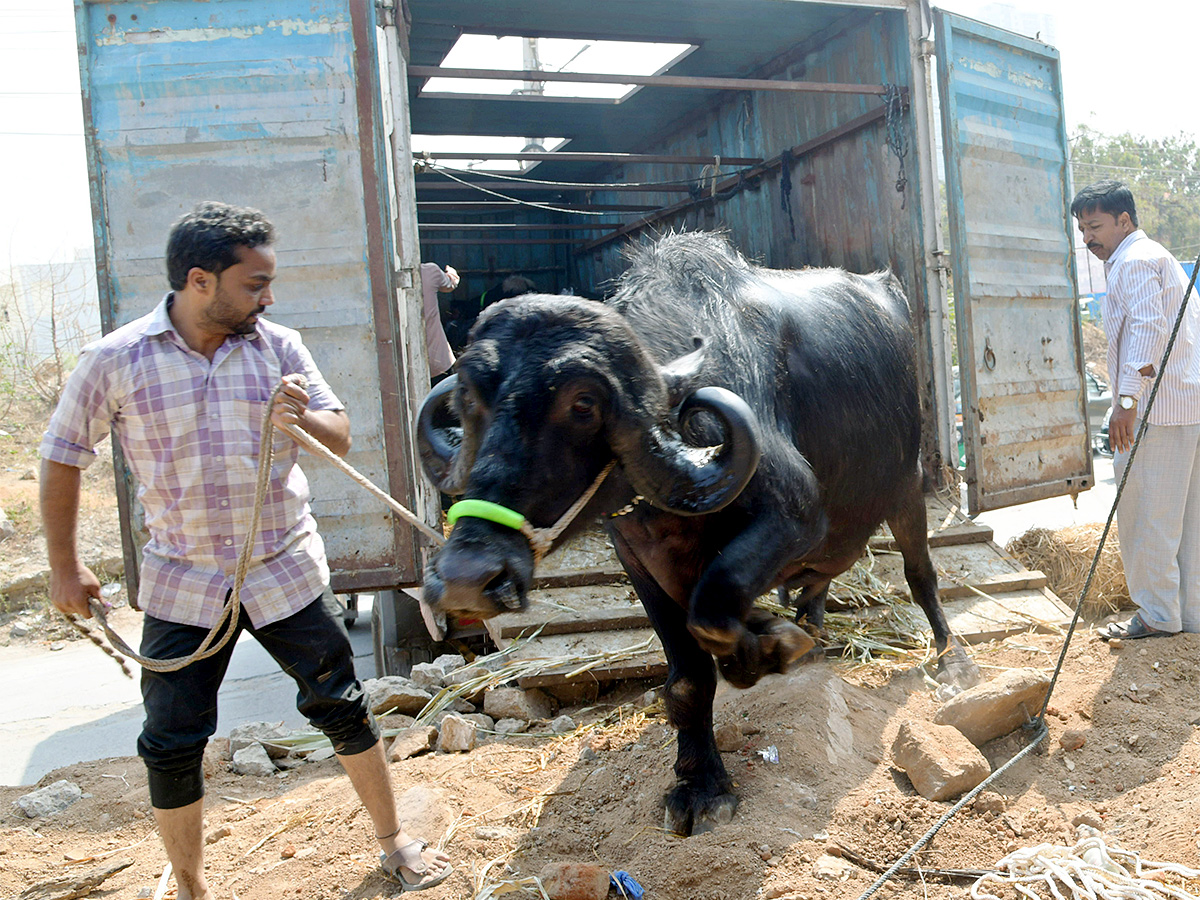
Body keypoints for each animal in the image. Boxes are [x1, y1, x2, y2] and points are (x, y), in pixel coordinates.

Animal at [417, 232, 979, 840]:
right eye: (470, 399)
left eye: (583, 404)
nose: (468, 576)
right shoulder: (637, 558)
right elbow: (688, 672)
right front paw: (700, 781)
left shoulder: (796, 513)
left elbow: (713, 610)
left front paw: (765, 648)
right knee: (819, 582)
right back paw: (808, 630)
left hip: (908, 488)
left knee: (920, 573)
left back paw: (951, 659)